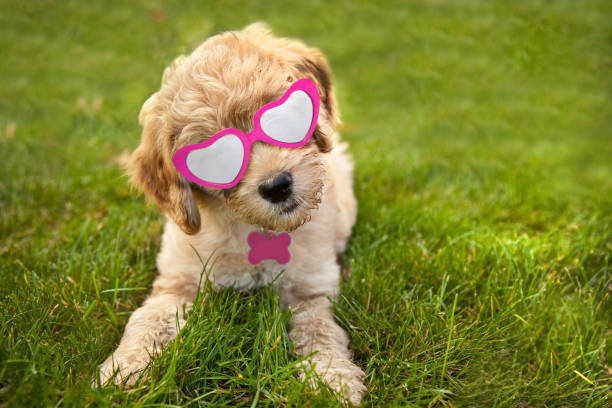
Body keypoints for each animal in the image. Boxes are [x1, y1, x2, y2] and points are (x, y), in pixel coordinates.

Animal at [98, 23, 366, 404]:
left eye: (283, 117)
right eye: (215, 158)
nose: (277, 186)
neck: (254, 228)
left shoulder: (310, 291)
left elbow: (320, 332)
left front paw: (332, 381)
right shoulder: (178, 282)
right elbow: (148, 319)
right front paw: (122, 370)